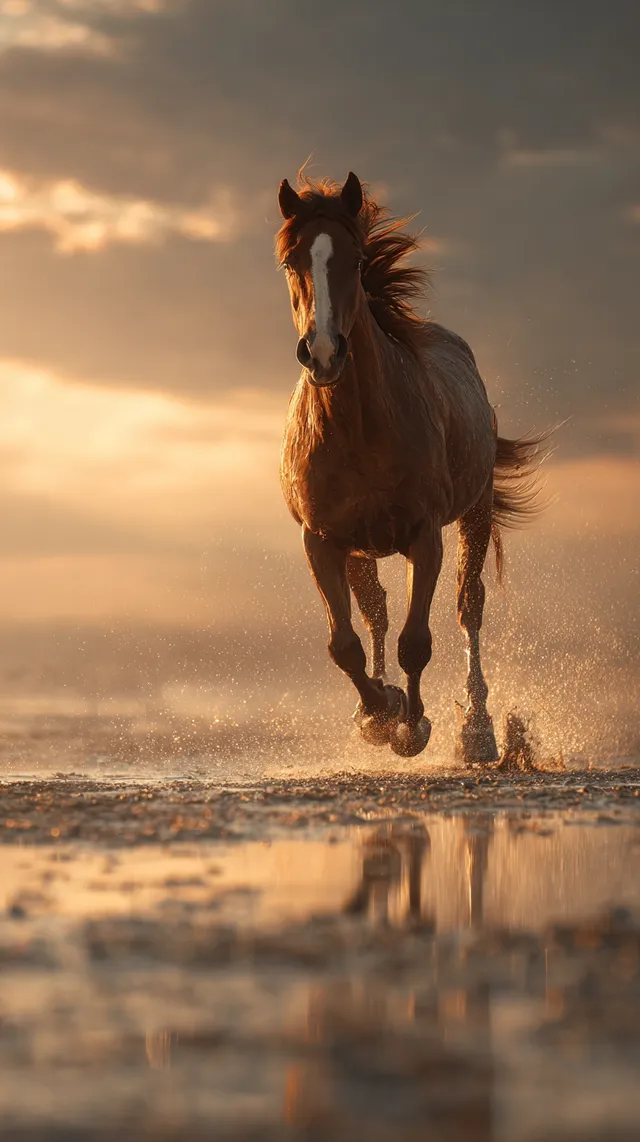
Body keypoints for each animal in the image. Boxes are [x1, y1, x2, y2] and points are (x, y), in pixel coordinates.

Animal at [275, 171, 545, 761]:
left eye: (354, 260)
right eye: (290, 261)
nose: (323, 353)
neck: (360, 428)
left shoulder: (426, 536)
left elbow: (416, 641)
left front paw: (414, 725)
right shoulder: (321, 539)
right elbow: (346, 643)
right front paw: (380, 711)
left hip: (475, 514)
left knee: (469, 607)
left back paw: (478, 731)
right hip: (360, 548)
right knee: (375, 610)